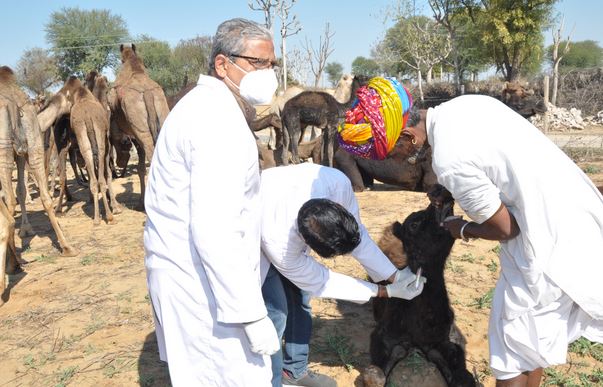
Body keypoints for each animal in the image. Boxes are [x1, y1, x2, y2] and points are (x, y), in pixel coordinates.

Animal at [0, 66, 77, 262]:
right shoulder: (21, 153)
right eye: (70, 98)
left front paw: (25, 229)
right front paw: (26, 229)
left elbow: (20, 190)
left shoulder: (19, 153)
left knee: (11, 199)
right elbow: (20, 189)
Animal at [107, 44, 170, 211]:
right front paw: (141, 203)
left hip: (142, 130)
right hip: (161, 114)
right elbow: (141, 169)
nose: (120, 163)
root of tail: (147, 93)